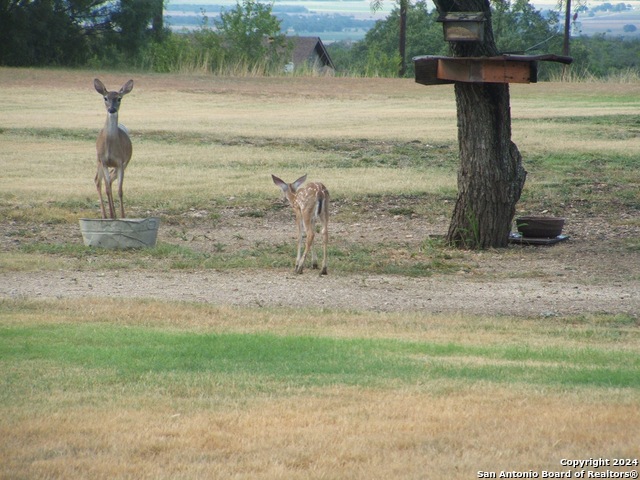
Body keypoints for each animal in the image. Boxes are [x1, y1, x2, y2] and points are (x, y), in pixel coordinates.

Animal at [93, 79, 133, 219]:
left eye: (119, 98)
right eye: (105, 98)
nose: (111, 109)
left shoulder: (120, 162)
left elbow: (120, 190)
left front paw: (122, 215)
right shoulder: (104, 161)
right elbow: (107, 189)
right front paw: (111, 215)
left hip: (124, 163)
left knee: (109, 179)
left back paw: (113, 213)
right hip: (98, 161)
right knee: (98, 181)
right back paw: (106, 215)